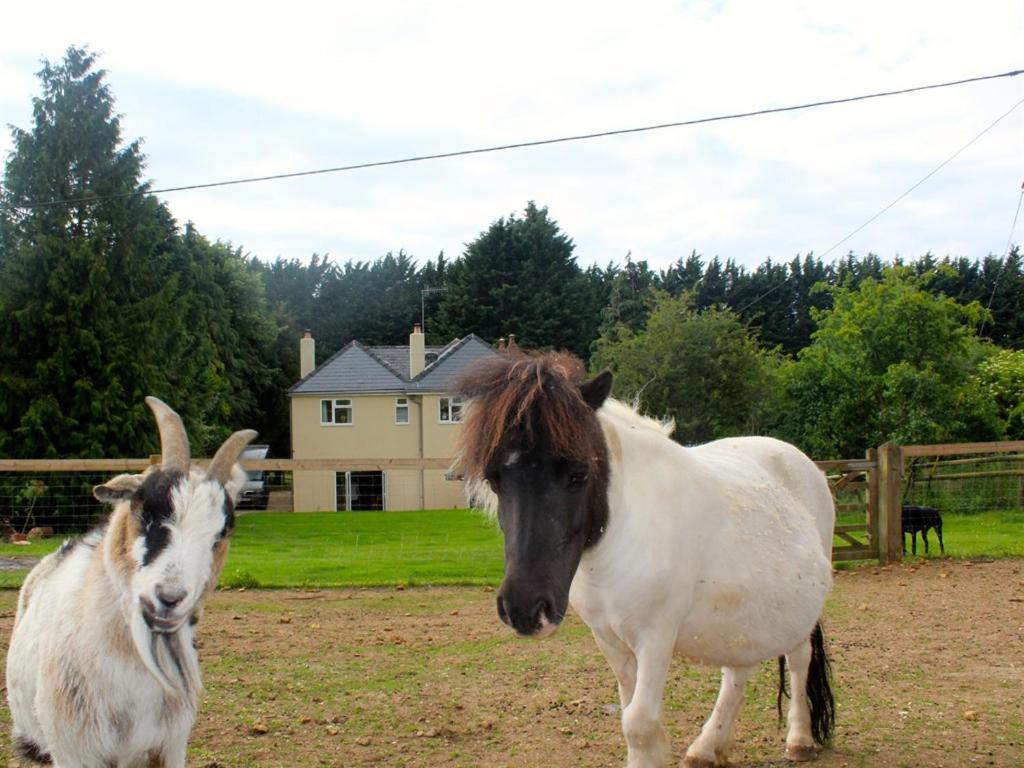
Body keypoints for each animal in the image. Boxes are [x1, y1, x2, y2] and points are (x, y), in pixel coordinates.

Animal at [456, 354, 831, 768]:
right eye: (494, 479)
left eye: (579, 474)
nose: (524, 608)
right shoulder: (609, 639)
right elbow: (631, 716)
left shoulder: (656, 637)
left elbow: (638, 724)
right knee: (737, 672)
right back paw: (707, 746)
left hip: (798, 619)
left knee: (799, 660)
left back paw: (799, 739)